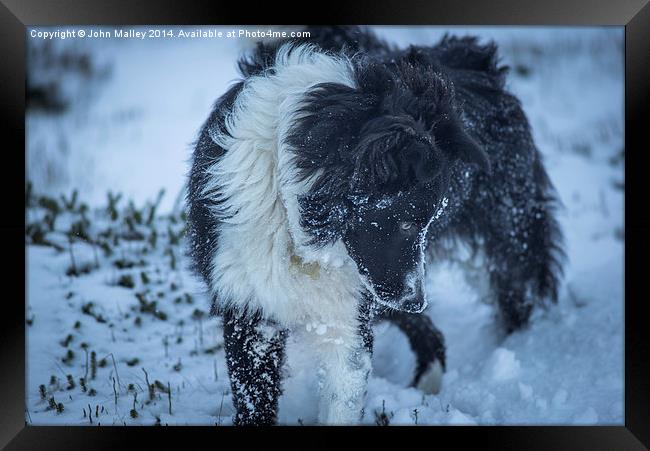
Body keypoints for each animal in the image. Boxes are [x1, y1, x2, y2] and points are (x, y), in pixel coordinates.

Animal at [185, 26, 560, 426]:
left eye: (426, 223)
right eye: (408, 224)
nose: (417, 301)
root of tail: (470, 54)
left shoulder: (348, 319)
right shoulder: (251, 308)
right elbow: (254, 400)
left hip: (507, 233)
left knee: (514, 292)